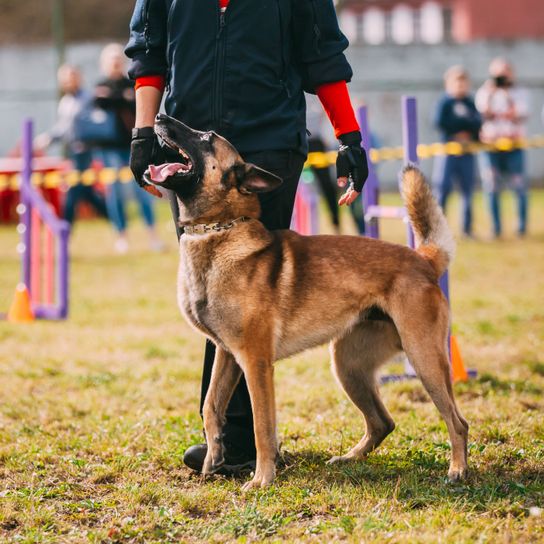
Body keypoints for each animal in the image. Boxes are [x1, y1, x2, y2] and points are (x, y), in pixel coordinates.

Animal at [144, 112, 468, 490]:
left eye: (208, 136)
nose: (159, 116)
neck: (219, 230)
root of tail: (423, 259)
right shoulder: (227, 355)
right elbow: (212, 406)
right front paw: (213, 460)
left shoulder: (255, 363)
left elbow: (262, 426)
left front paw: (262, 479)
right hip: (348, 367)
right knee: (383, 422)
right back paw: (349, 458)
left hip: (424, 360)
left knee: (457, 422)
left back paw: (457, 469)